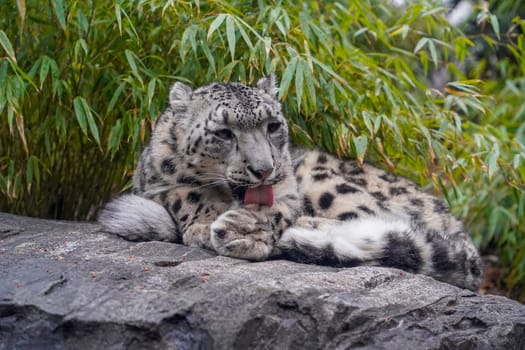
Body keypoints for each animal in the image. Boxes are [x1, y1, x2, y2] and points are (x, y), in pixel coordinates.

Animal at [98, 76, 478, 290]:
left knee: (378, 220)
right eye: (223, 132)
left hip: (324, 179)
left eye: (273, 125)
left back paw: (304, 229)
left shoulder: (289, 189)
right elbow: (187, 194)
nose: (264, 169)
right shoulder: (156, 182)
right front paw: (208, 224)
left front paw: (244, 231)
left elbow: (277, 210)